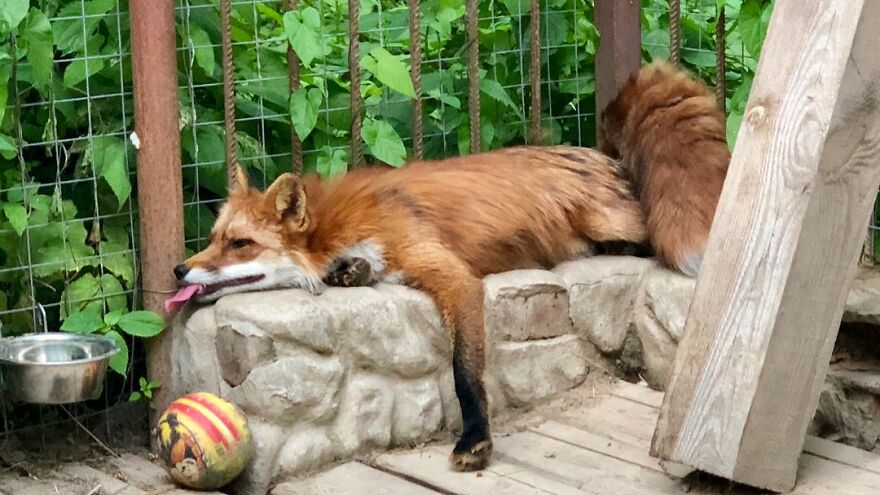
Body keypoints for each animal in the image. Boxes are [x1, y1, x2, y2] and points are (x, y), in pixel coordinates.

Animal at [167, 147, 648, 472]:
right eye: (213, 239)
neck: (337, 230)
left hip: (616, 222)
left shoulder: (453, 276)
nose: (178, 269)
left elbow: (464, 371)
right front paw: (350, 273)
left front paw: (475, 439)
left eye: (240, 244)